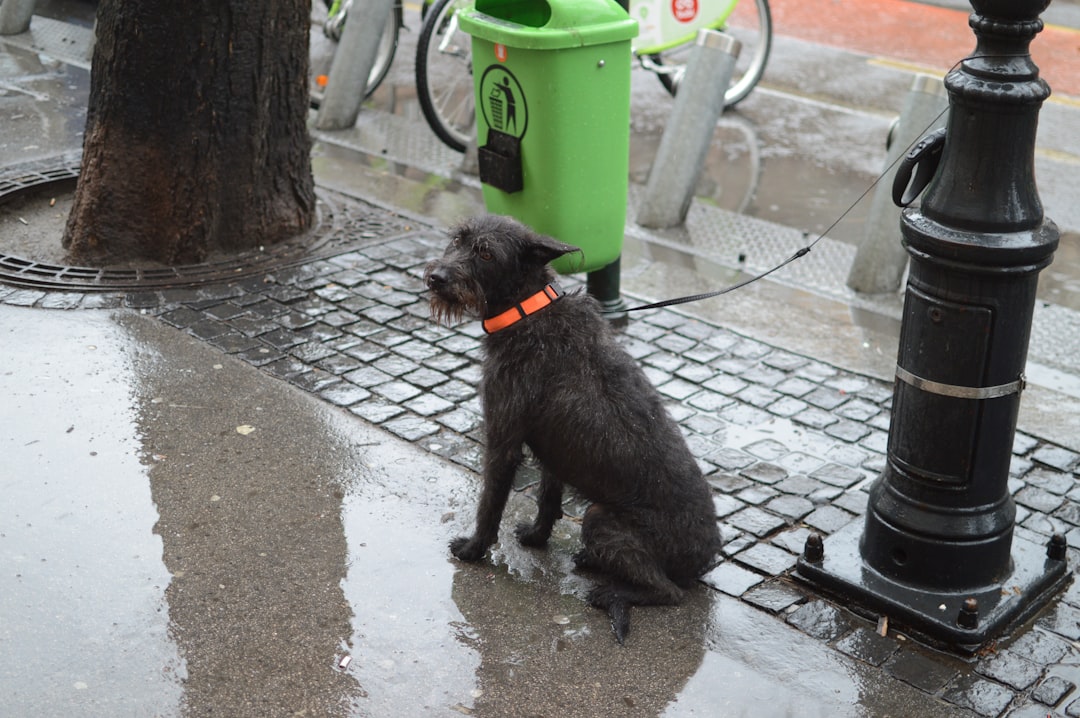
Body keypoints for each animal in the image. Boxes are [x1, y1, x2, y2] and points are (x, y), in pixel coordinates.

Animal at [425, 213, 721, 643]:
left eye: (486, 253)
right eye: (457, 240)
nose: (436, 277)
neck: (526, 310)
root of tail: (706, 557)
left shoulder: (502, 440)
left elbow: (490, 503)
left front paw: (475, 549)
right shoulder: (552, 454)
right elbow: (548, 498)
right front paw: (536, 537)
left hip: (600, 518)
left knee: (669, 592)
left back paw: (611, 592)